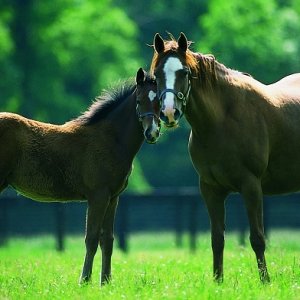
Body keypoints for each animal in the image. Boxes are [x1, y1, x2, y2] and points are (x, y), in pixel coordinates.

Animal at [0, 68, 161, 286]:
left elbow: (107, 240)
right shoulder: (98, 196)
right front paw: (84, 280)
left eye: (159, 101)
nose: (152, 133)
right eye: (138, 101)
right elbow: (91, 238)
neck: (111, 139)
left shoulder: (113, 197)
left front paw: (106, 282)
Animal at [151, 33, 300, 284]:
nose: (169, 113)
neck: (221, 121)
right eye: (156, 76)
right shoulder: (210, 189)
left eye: (184, 72)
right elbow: (217, 239)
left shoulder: (251, 186)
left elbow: (257, 238)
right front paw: (217, 281)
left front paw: (265, 281)